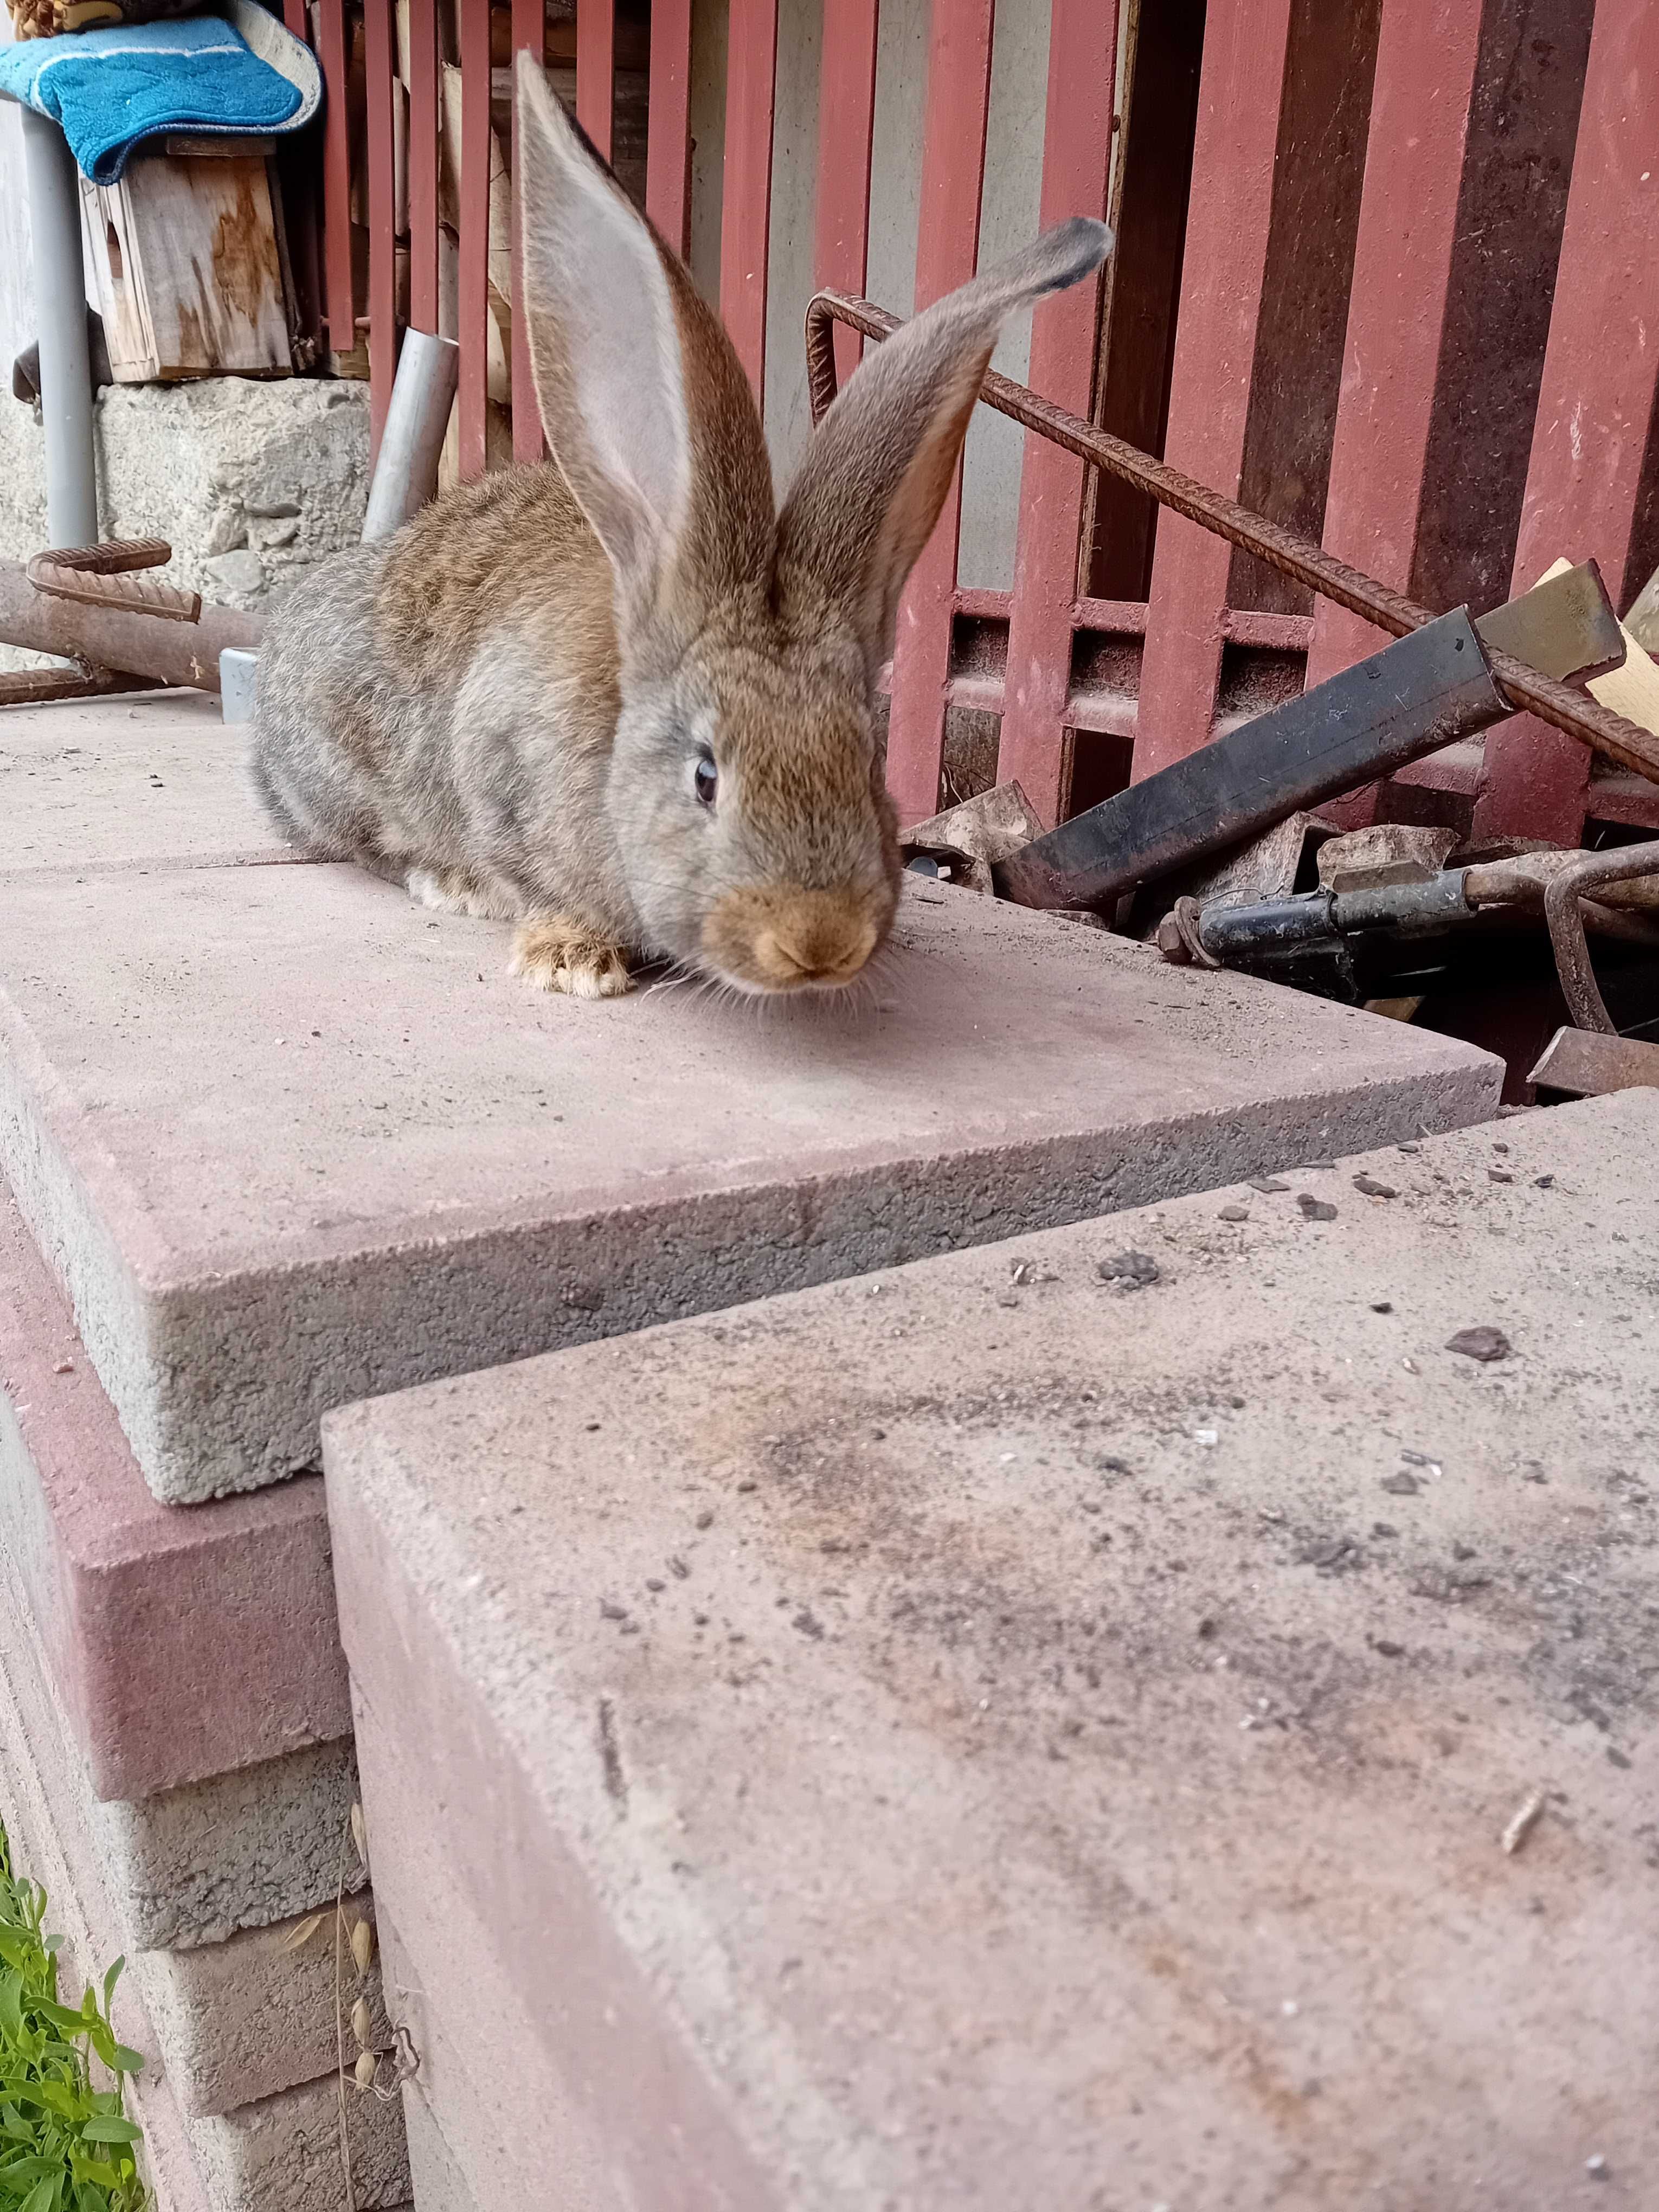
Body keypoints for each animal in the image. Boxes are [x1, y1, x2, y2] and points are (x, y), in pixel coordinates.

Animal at [253, 47, 1119, 1000]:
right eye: (705, 777)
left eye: (870, 766)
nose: (819, 942)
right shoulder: (496, 765)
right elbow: (528, 874)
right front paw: (570, 960)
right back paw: (451, 882)